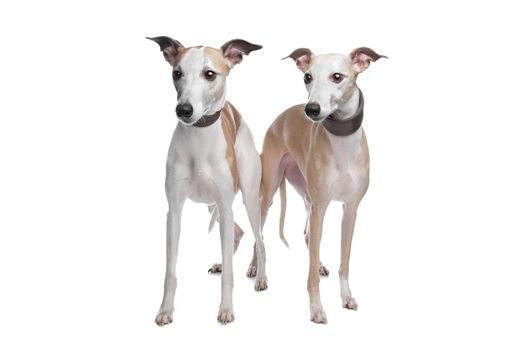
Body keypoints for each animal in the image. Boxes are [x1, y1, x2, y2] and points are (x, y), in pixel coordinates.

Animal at [146, 36, 266, 326]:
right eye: (176, 73)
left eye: (209, 74)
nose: (183, 110)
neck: (199, 137)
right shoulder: (174, 211)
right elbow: (170, 271)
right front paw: (165, 310)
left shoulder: (226, 204)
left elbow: (230, 276)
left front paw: (226, 309)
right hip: (217, 207)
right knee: (236, 233)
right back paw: (224, 262)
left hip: (248, 199)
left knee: (259, 238)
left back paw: (261, 277)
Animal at [254, 45, 384, 322]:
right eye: (307, 77)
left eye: (337, 77)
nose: (311, 109)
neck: (342, 145)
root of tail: (280, 118)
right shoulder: (320, 209)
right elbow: (310, 271)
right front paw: (316, 308)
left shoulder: (350, 209)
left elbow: (344, 261)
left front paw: (346, 297)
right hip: (269, 192)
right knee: (259, 236)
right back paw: (257, 274)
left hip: (305, 194)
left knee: (306, 235)